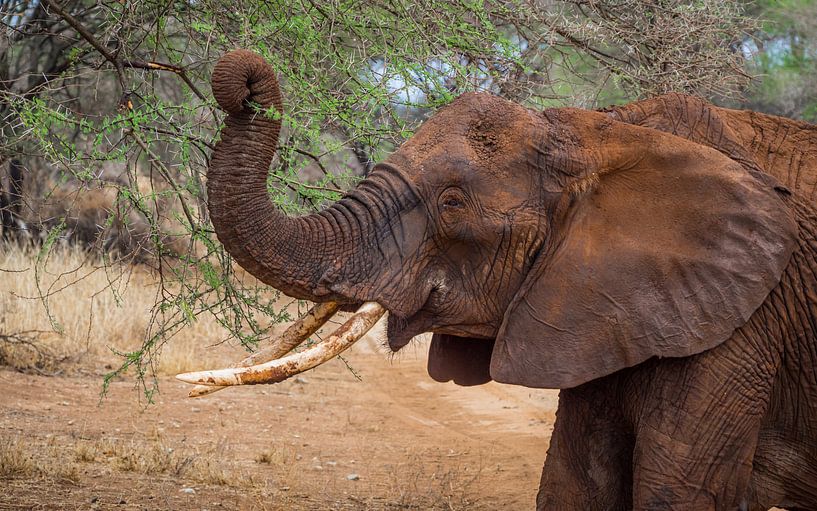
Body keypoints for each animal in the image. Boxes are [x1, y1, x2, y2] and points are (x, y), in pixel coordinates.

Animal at [203, 50, 817, 510]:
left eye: (452, 204)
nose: (246, 78)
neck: (607, 132)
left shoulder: (744, 324)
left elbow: (678, 495)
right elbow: (575, 485)